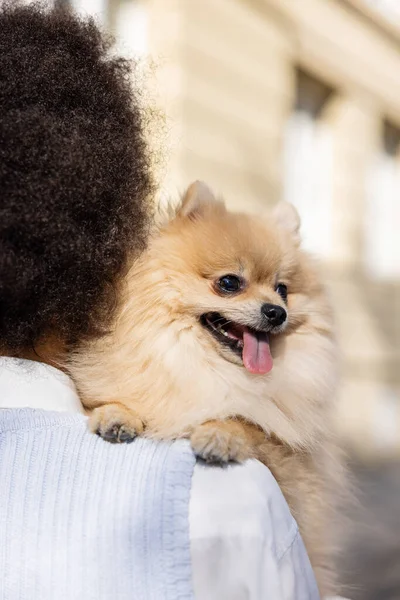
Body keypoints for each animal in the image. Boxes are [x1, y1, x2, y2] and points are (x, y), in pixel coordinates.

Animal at [69, 182, 344, 596]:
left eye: (282, 289)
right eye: (229, 283)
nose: (276, 311)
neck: (208, 367)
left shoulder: (295, 468)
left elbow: (253, 423)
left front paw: (220, 434)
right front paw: (117, 414)